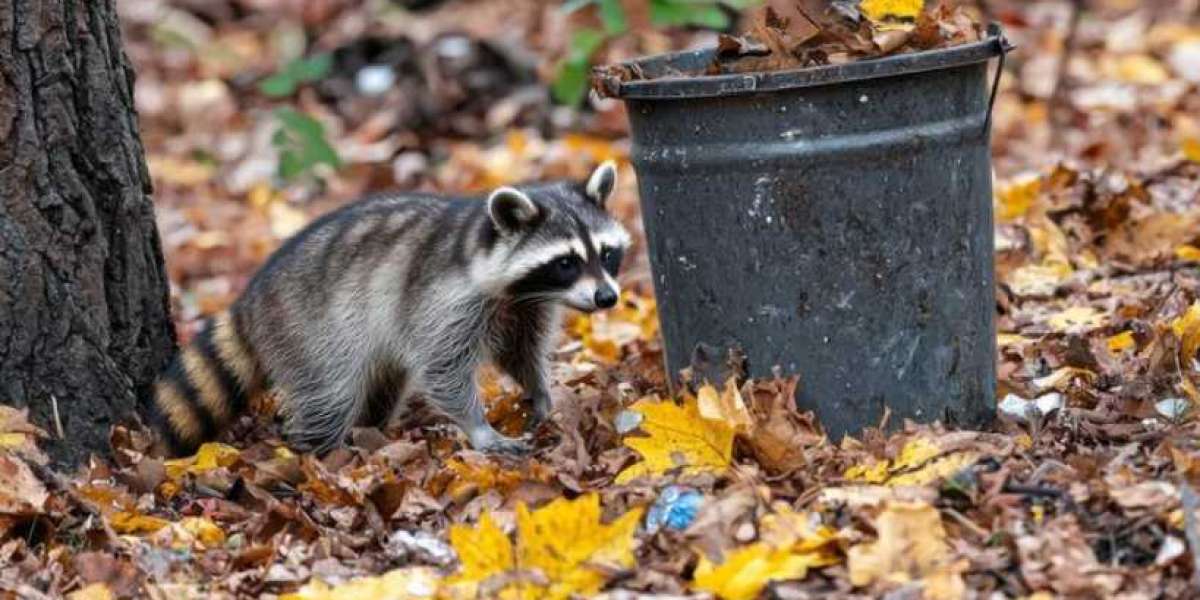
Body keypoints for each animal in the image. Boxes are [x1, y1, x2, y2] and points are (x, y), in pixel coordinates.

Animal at [150, 162, 629, 456]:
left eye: (606, 254)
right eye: (566, 262)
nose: (607, 298)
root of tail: (251, 300)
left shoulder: (524, 308)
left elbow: (520, 352)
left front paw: (541, 393)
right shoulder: (444, 301)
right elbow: (443, 370)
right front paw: (478, 426)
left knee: (382, 386)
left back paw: (372, 429)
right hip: (308, 331)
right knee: (331, 394)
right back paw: (317, 453)